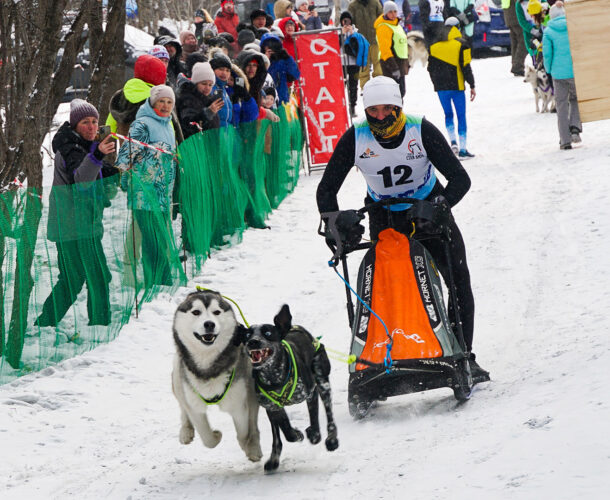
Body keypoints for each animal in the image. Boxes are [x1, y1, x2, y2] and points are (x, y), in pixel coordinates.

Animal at [171, 292, 262, 462]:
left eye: (216, 312)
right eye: (196, 312)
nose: (209, 324)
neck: (209, 368)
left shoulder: (238, 404)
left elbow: (243, 433)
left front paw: (247, 446)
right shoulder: (194, 404)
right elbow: (207, 438)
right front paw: (216, 436)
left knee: (253, 421)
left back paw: (253, 446)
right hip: (177, 377)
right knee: (182, 404)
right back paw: (186, 431)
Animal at [242, 304, 338, 472]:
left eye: (268, 333)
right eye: (247, 334)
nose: (253, 341)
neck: (273, 376)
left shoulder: (310, 393)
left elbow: (314, 417)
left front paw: (314, 435)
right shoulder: (271, 407)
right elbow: (285, 428)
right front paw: (295, 435)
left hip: (322, 380)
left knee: (329, 412)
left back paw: (331, 439)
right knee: (277, 437)